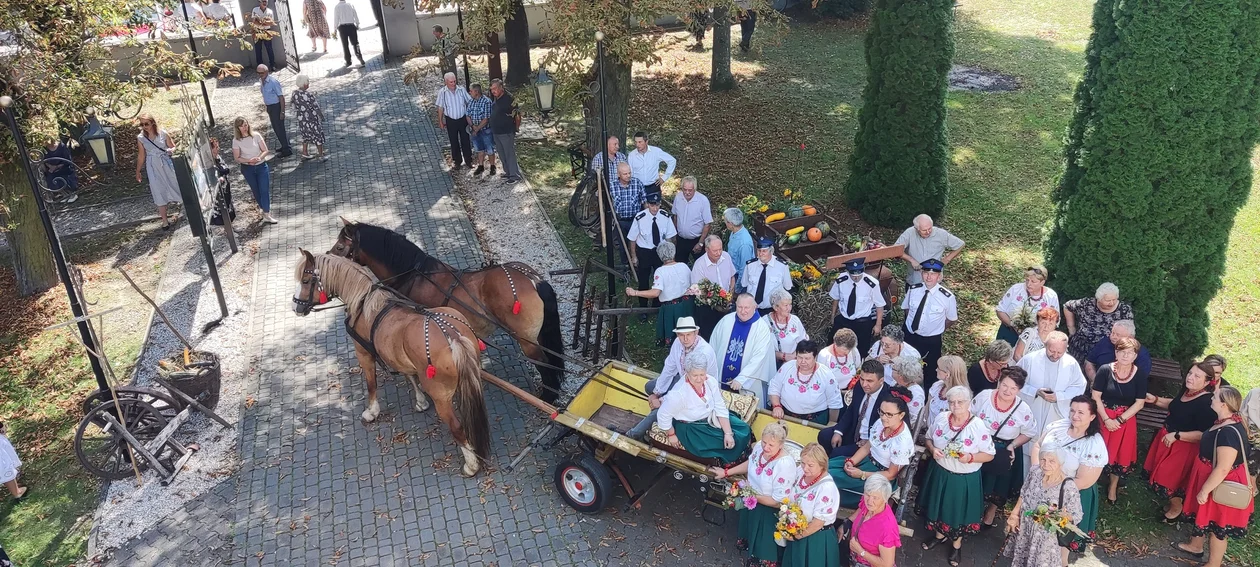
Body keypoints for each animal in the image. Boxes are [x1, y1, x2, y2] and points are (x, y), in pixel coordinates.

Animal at [293, 250, 491, 476]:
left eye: (305, 280)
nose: (296, 306)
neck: (364, 303)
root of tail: (453, 336)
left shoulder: (364, 353)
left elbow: (371, 384)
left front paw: (372, 411)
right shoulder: (398, 355)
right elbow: (410, 376)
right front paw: (420, 401)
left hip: (441, 396)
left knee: (457, 427)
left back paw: (471, 464)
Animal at [327, 220, 564, 403]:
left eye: (340, 247)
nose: (326, 257)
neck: (414, 275)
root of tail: (533, 279)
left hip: (527, 340)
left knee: (544, 364)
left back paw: (547, 397)